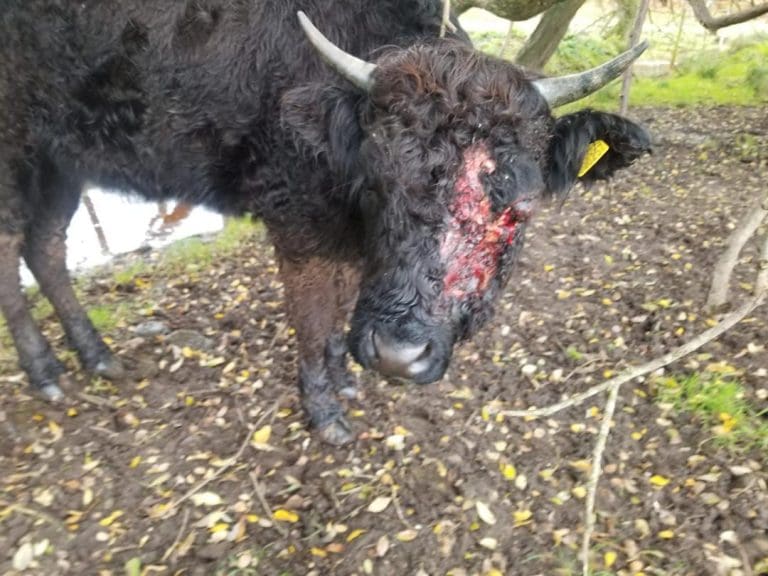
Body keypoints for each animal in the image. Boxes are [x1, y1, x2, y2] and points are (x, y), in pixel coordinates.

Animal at [0, 1, 651, 445]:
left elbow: (338, 305)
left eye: (520, 205)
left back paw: (96, 355)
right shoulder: (298, 224)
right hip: (16, 155)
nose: (397, 355)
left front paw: (344, 377)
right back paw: (47, 371)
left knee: (46, 247)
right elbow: (313, 316)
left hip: (61, 161)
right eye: (378, 181)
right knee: (14, 250)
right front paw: (325, 410)